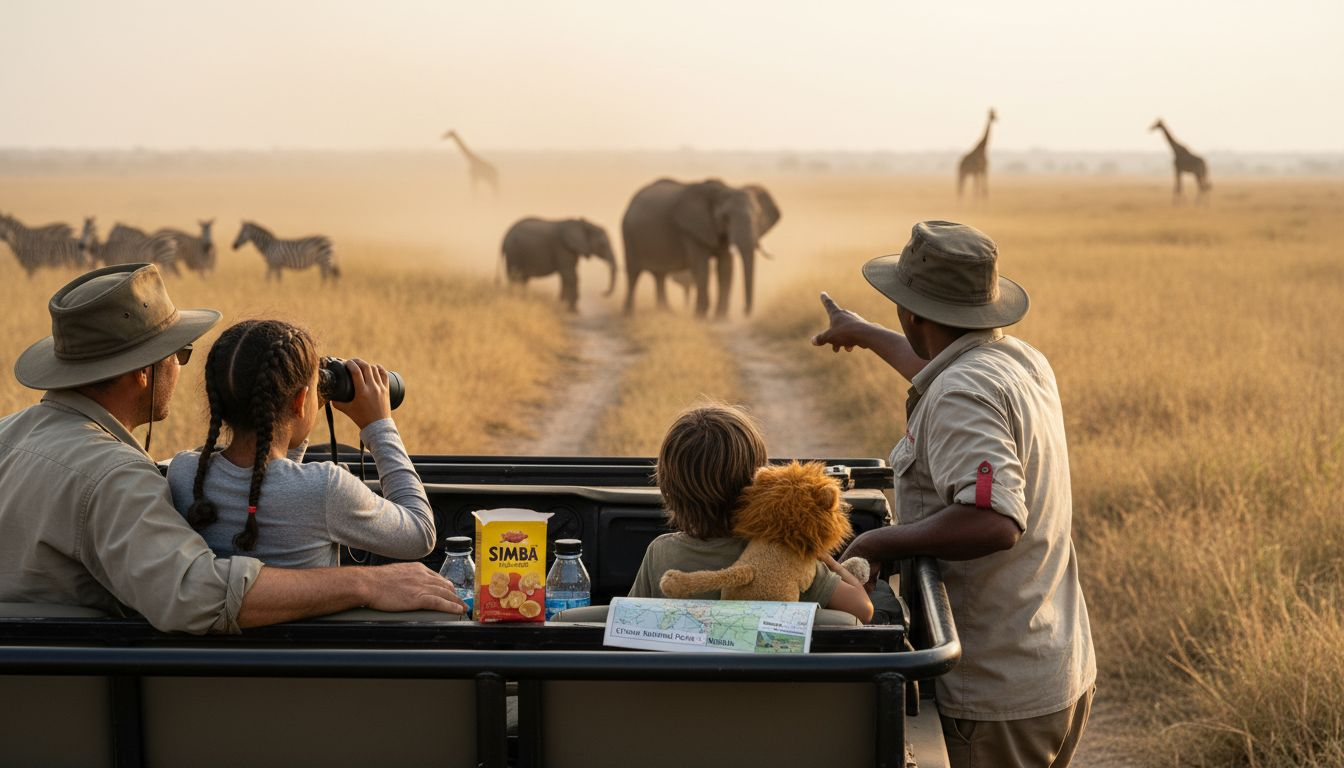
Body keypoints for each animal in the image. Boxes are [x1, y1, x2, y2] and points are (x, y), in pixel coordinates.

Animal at [621, 178, 780, 318]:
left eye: (758, 215)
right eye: (726, 217)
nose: (744, 311)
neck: (721, 191)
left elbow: (725, 267)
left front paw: (720, 318)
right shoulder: (691, 229)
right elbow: (701, 266)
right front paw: (700, 316)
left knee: (660, 275)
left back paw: (666, 312)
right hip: (628, 233)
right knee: (633, 273)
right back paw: (629, 314)